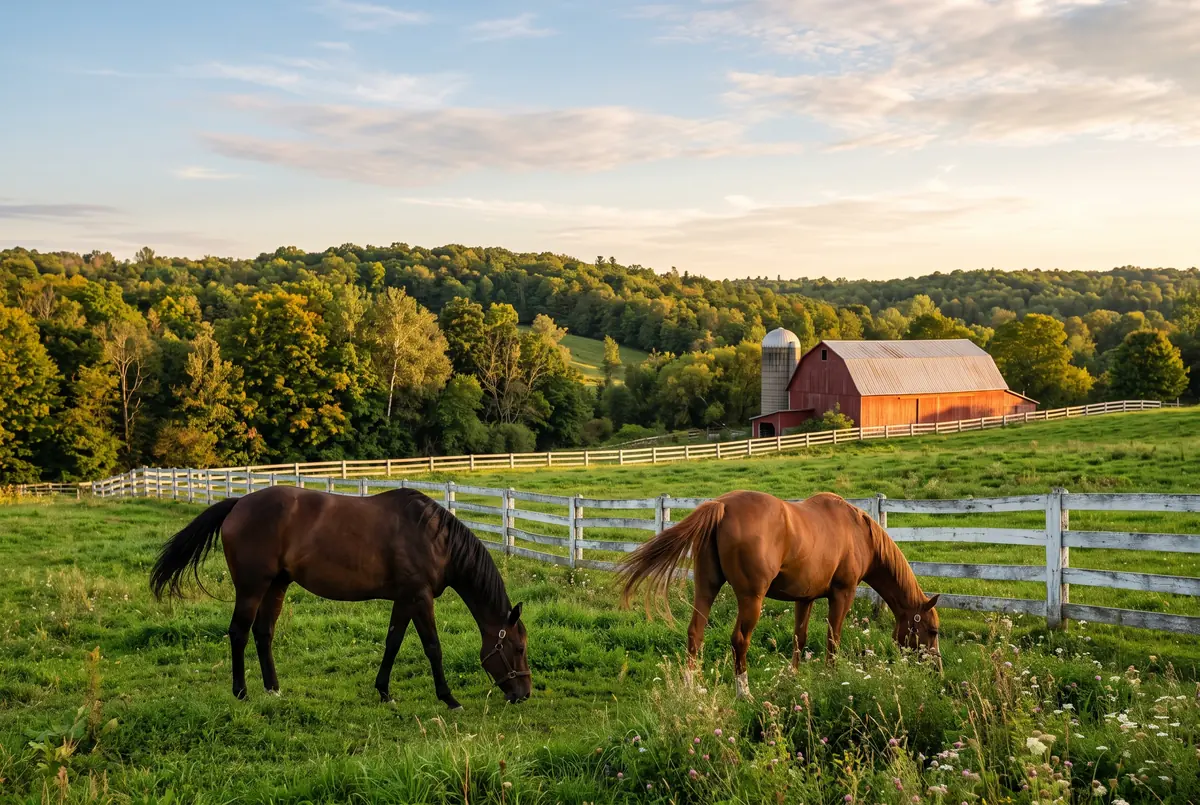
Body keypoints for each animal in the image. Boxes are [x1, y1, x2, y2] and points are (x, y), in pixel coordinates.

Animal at [149, 485, 532, 708]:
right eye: (518, 648)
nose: (523, 694)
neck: (434, 537)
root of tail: (238, 504)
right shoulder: (420, 597)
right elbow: (432, 647)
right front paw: (449, 698)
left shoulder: (404, 599)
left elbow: (393, 642)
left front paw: (383, 692)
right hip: (252, 587)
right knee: (239, 632)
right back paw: (241, 692)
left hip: (277, 585)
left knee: (263, 632)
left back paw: (273, 689)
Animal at [618, 490, 941, 699]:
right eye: (933, 631)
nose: (937, 671)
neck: (859, 533)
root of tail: (721, 506)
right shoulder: (842, 593)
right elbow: (833, 638)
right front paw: (832, 677)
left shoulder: (805, 598)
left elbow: (800, 638)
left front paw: (793, 677)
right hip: (751, 599)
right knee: (739, 640)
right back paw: (744, 693)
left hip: (706, 588)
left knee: (695, 633)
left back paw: (690, 687)